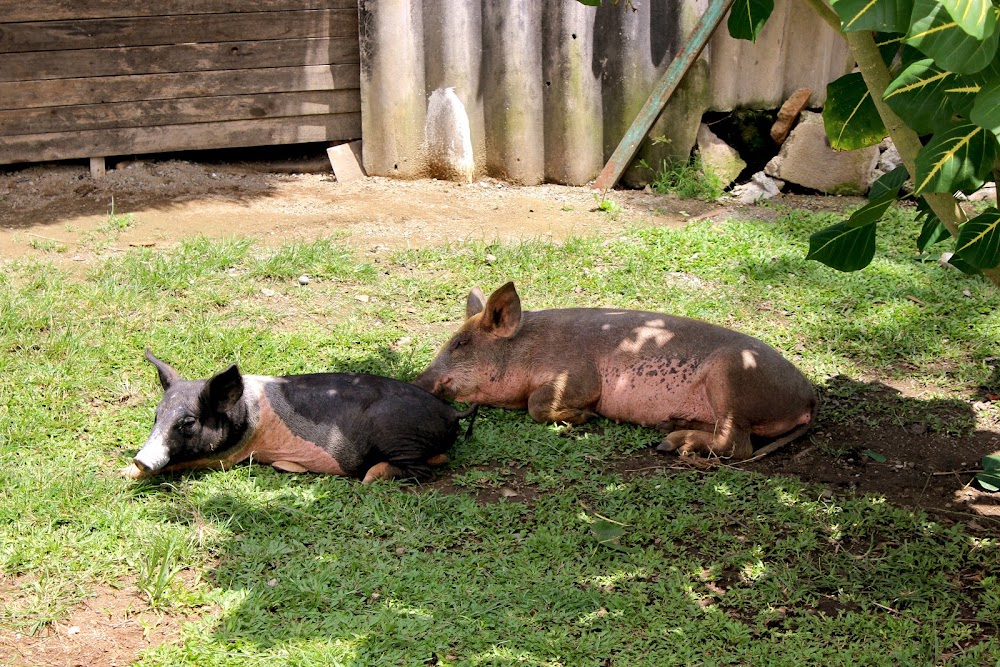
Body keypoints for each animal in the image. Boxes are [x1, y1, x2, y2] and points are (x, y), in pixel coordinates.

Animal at [123, 350, 478, 486]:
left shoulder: (229, 455)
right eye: (156, 416)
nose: (141, 459)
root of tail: (449, 411)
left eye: (188, 423)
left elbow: (188, 462)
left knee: (428, 467)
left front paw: (122, 473)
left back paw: (370, 477)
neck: (245, 412)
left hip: (396, 434)